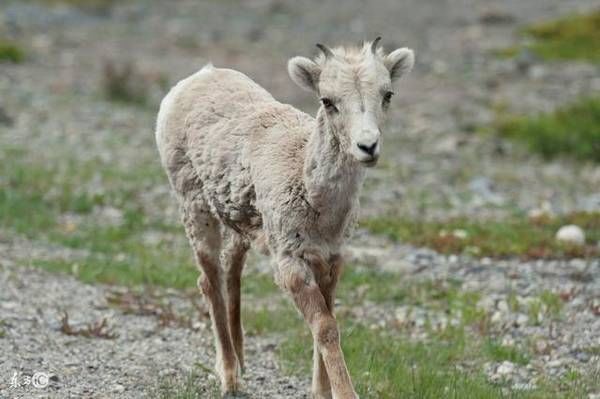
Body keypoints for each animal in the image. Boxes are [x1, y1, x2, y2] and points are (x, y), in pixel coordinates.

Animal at [156, 38, 412, 399]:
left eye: (387, 94)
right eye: (327, 100)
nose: (367, 146)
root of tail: (197, 78)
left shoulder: (331, 258)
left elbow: (327, 321)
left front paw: (321, 391)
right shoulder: (290, 262)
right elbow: (326, 327)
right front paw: (343, 393)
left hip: (239, 223)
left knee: (231, 271)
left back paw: (241, 361)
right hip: (194, 206)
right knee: (209, 280)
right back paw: (230, 378)